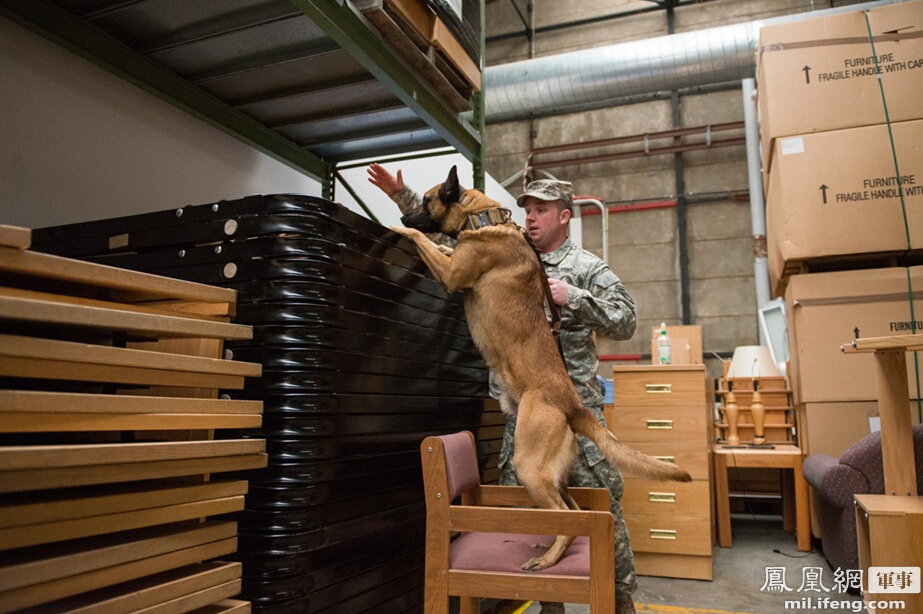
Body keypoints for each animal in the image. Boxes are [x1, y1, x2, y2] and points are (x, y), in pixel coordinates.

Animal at [392, 167, 692, 572]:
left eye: (426, 202)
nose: (405, 213)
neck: (484, 218)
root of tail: (573, 405)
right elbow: (440, 246)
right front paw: (425, 236)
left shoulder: (452, 275)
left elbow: (424, 240)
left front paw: (398, 228)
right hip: (551, 475)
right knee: (573, 511)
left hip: (529, 467)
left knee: (567, 517)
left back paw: (548, 559)